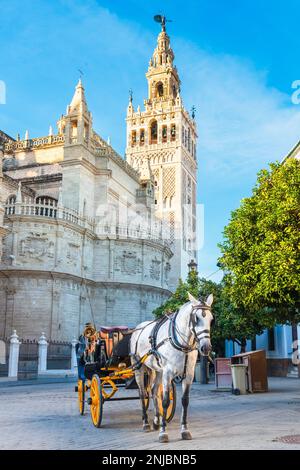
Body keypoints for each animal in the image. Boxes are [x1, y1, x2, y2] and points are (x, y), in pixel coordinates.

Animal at [131, 292, 213, 442]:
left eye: (211, 320)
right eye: (196, 318)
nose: (206, 347)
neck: (181, 342)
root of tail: (138, 328)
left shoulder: (189, 374)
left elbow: (185, 401)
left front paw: (184, 430)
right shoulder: (168, 373)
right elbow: (165, 401)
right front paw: (163, 432)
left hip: (157, 370)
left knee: (153, 391)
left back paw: (156, 421)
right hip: (139, 368)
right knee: (142, 393)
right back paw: (146, 423)